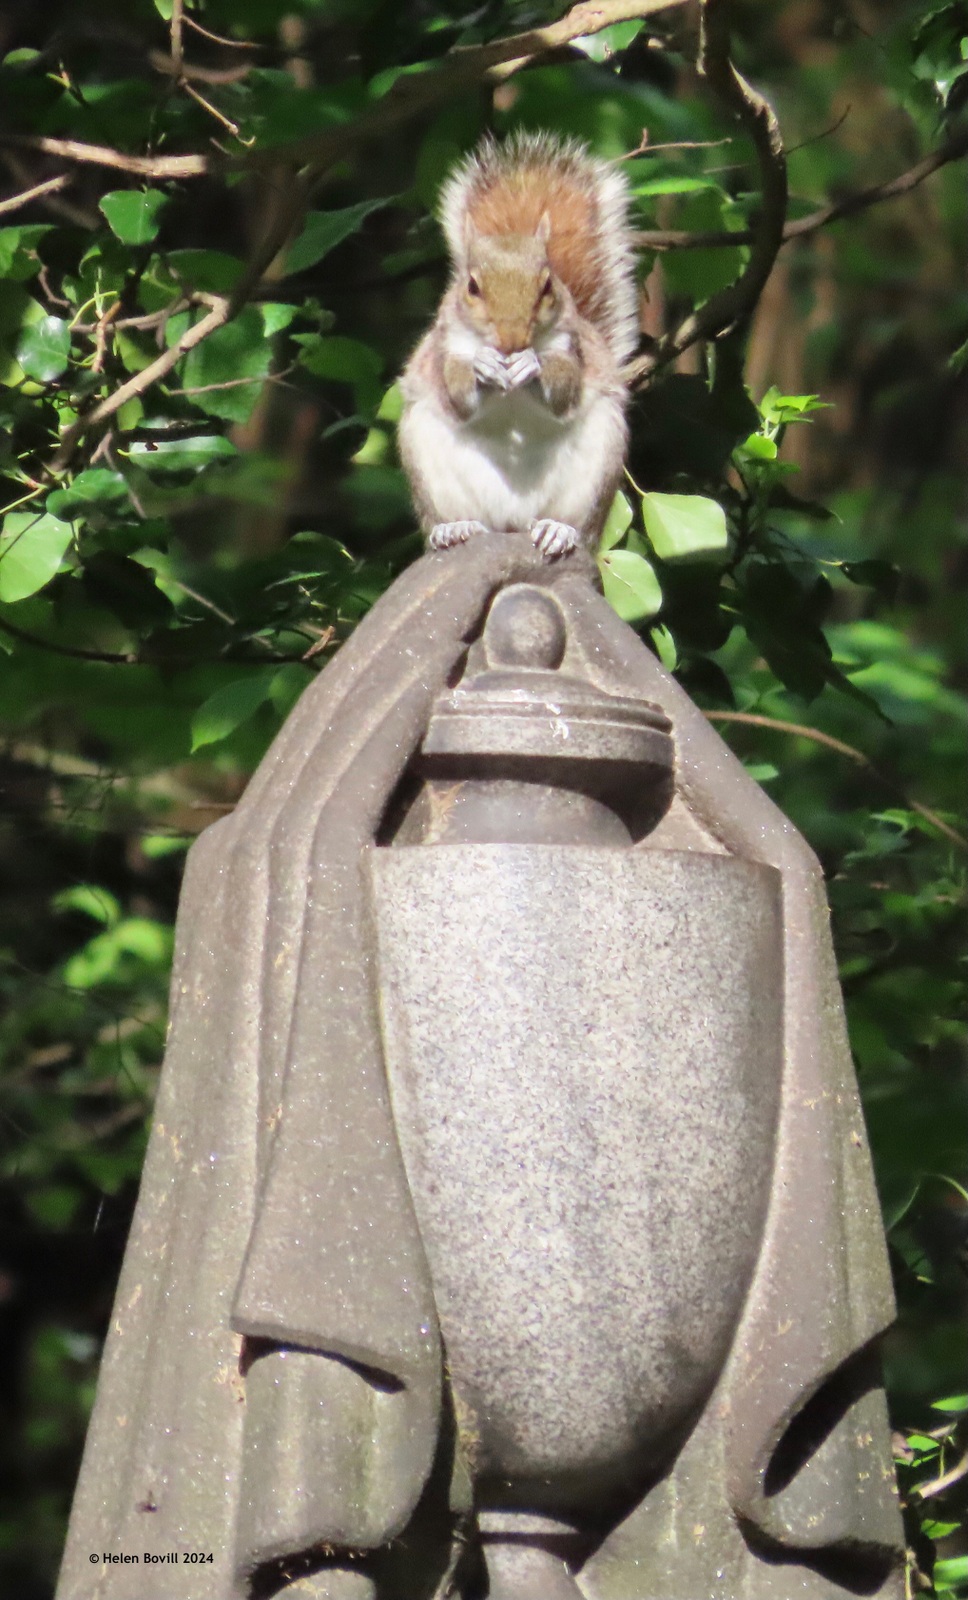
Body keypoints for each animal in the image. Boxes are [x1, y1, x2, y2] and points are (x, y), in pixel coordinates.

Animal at [396, 134, 636, 566]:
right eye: (472, 286)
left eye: (548, 285)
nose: (512, 342)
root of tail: (513, 521)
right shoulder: (445, 350)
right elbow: (458, 395)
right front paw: (482, 366)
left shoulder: (570, 347)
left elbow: (563, 391)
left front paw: (532, 364)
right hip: (426, 460)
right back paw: (453, 529)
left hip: (599, 463)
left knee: (580, 527)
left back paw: (559, 530)